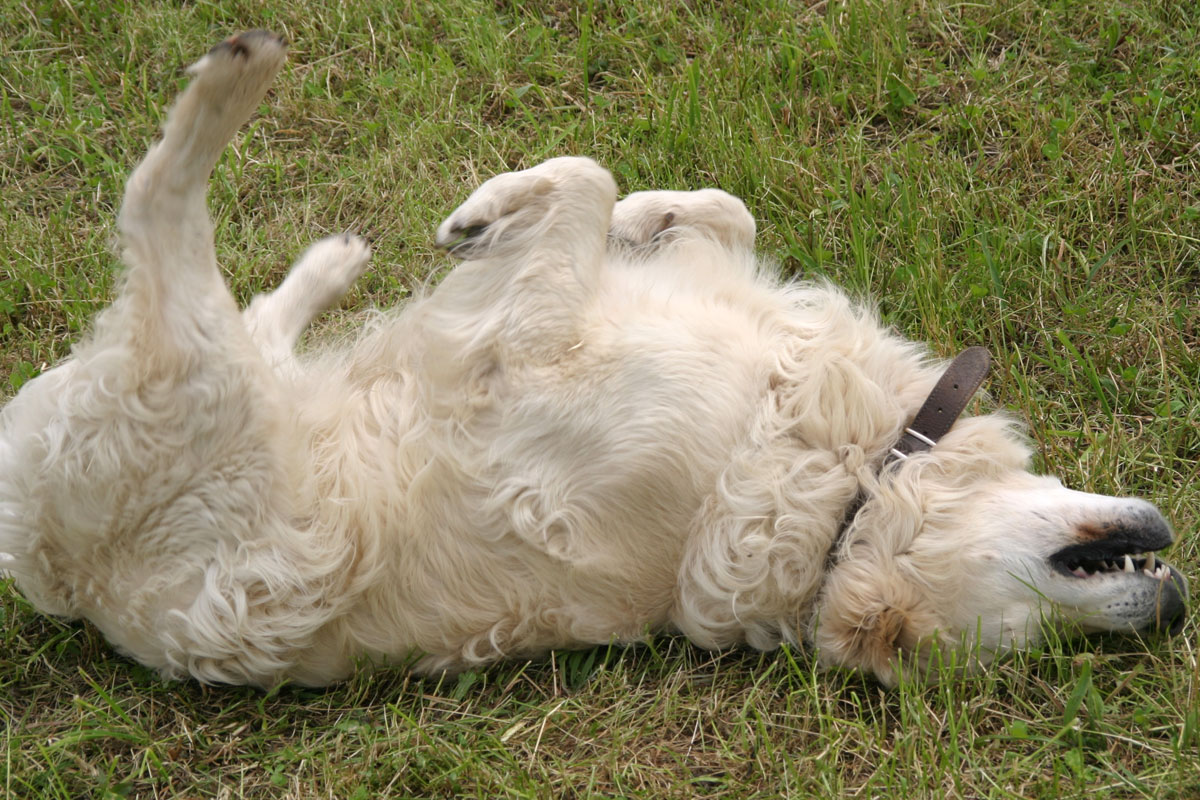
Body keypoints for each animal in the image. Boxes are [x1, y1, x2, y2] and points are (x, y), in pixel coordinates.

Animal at [0, 32, 1185, 690]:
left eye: (1030, 646)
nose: (1171, 606)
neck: (846, 489)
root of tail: (71, 589)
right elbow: (686, 200)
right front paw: (621, 217)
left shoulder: (539, 348)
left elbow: (584, 184)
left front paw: (507, 213)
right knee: (243, 301)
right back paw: (330, 259)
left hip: (185, 386)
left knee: (162, 209)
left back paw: (237, 84)